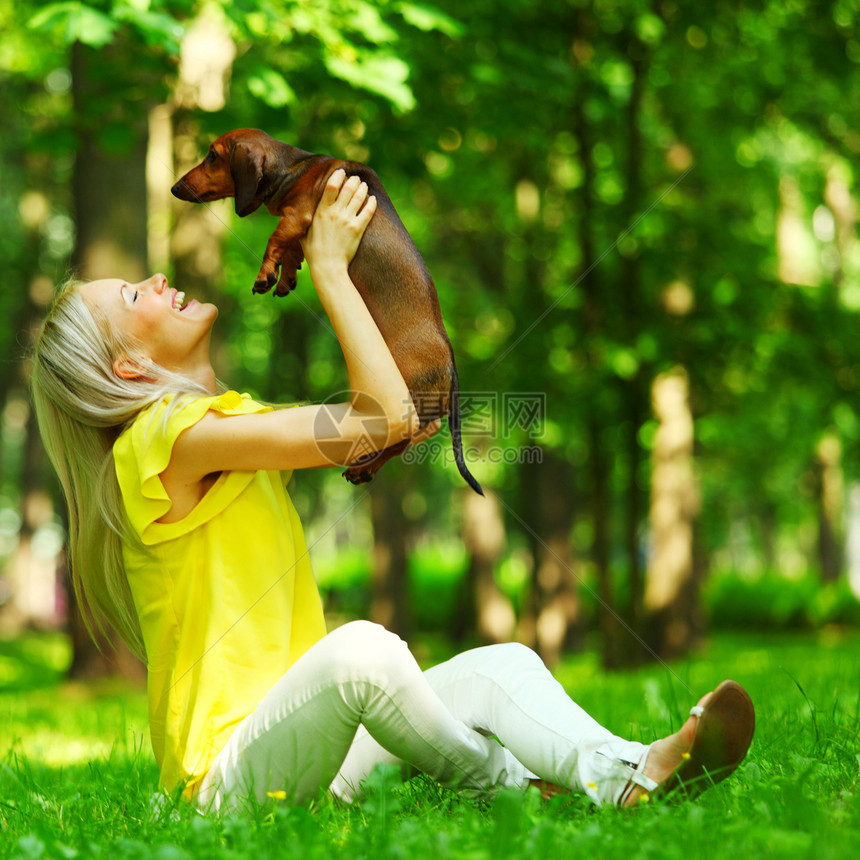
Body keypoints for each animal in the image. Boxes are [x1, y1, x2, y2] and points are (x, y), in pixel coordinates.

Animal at [173, 126, 484, 490]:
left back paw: (363, 467)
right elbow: (292, 250)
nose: (175, 188)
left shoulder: (297, 215)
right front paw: (285, 278)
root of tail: (450, 367)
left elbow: (275, 240)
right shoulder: (302, 226)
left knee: (401, 441)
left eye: (212, 155)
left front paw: (266, 275)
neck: (293, 169)